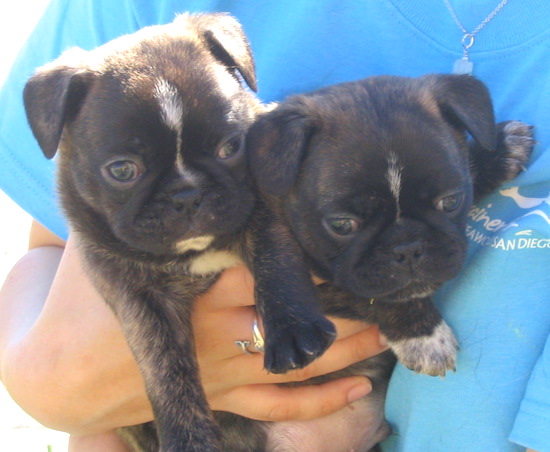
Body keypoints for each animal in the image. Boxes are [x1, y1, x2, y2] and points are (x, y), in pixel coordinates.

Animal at [22, 12, 336, 450]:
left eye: (231, 147)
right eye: (122, 170)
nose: (187, 195)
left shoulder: (265, 205)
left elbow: (276, 259)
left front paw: (292, 330)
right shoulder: (136, 295)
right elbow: (163, 365)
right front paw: (188, 438)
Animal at [212, 72, 536, 450]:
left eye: (452, 200)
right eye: (342, 224)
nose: (407, 247)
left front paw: (496, 151)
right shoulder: (323, 282)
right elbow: (374, 298)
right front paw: (424, 335)